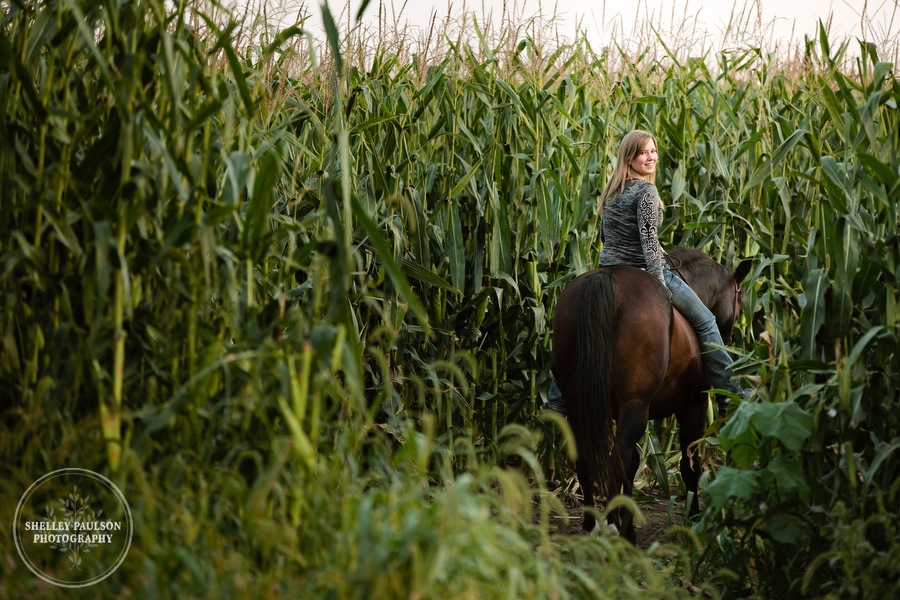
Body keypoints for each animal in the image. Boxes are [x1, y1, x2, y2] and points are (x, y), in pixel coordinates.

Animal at [552, 247, 748, 540]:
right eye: (739, 304)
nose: (729, 340)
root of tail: (605, 280)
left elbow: (633, 465)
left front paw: (630, 527)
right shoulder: (693, 404)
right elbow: (689, 463)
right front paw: (693, 518)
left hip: (580, 406)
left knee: (586, 459)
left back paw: (590, 525)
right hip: (635, 406)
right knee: (616, 458)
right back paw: (610, 525)